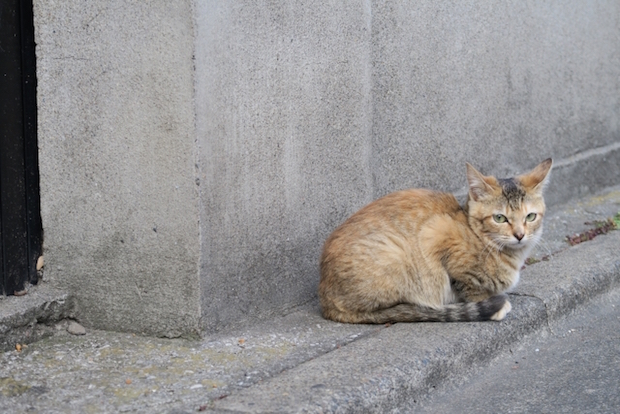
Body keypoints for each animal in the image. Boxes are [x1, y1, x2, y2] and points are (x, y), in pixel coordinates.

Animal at [320, 158, 552, 324]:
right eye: (500, 218)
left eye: (530, 216)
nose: (520, 235)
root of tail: (326, 300)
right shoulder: (435, 232)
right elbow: (469, 286)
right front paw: (488, 302)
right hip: (395, 256)